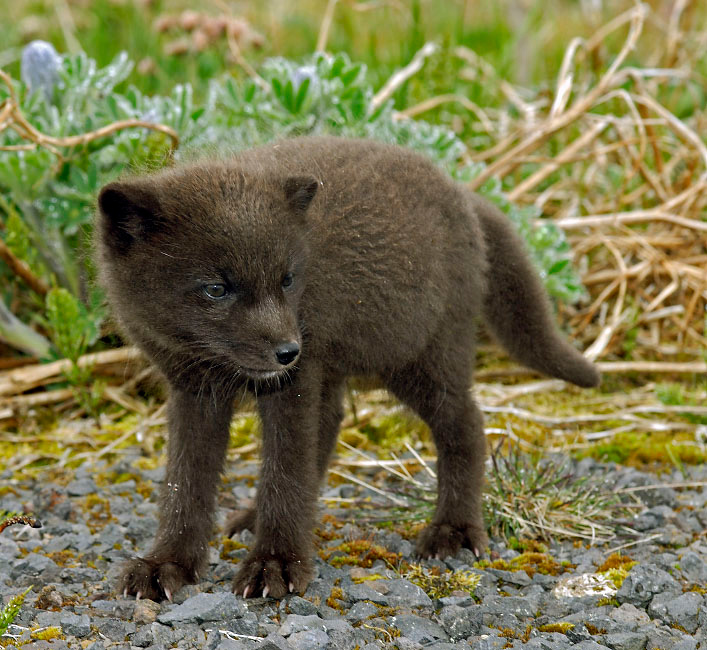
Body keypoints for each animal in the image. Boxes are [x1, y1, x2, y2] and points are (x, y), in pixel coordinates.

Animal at [96, 136, 599, 601]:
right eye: (215, 289)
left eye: (287, 280)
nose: (288, 351)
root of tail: (460, 191)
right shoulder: (195, 388)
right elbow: (185, 483)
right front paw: (167, 565)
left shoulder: (294, 384)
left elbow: (285, 471)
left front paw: (275, 564)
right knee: (335, 423)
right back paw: (255, 516)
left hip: (421, 355)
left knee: (467, 425)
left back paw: (452, 531)